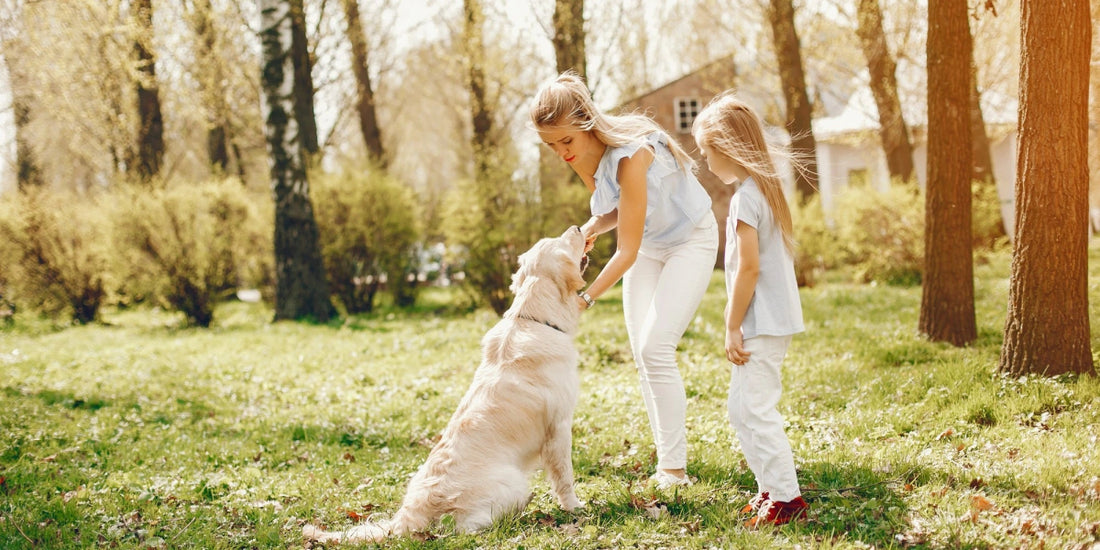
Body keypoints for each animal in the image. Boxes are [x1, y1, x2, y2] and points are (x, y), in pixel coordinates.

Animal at [301, 225, 589, 543]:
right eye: (562, 241)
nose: (578, 227)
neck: (535, 319)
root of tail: (406, 518)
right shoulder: (559, 427)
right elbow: (565, 476)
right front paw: (575, 507)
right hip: (511, 482)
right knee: (466, 529)